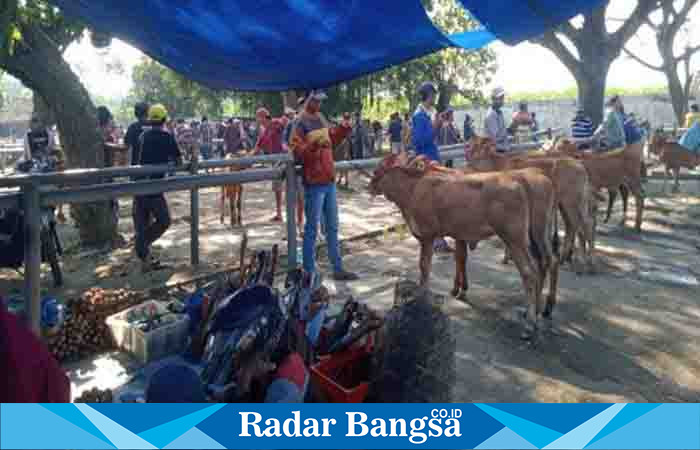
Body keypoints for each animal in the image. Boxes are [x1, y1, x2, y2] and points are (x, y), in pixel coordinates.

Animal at [370, 153, 560, 336]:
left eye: (377, 171)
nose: (370, 186)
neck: (413, 188)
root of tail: (523, 181)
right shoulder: (458, 235)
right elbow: (459, 259)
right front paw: (459, 290)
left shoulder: (427, 237)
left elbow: (425, 266)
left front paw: (424, 295)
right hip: (538, 235)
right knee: (547, 261)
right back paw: (540, 310)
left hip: (515, 239)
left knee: (529, 273)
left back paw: (530, 323)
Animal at [468, 136, 592, 270]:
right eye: (471, 147)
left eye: (478, 150)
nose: (469, 161)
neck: (500, 164)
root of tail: (580, 166)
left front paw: (506, 258)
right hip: (568, 205)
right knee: (575, 227)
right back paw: (567, 259)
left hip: (571, 203)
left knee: (581, 228)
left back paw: (585, 263)